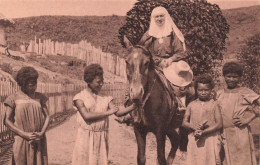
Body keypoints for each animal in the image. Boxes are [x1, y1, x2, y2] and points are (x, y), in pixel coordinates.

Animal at [123, 36, 182, 165]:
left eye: (146, 62)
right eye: (126, 62)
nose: (136, 94)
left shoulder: (160, 132)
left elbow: (160, 158)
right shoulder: (139, 130)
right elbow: (141, 158)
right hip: (170, 128)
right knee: (176, 140)